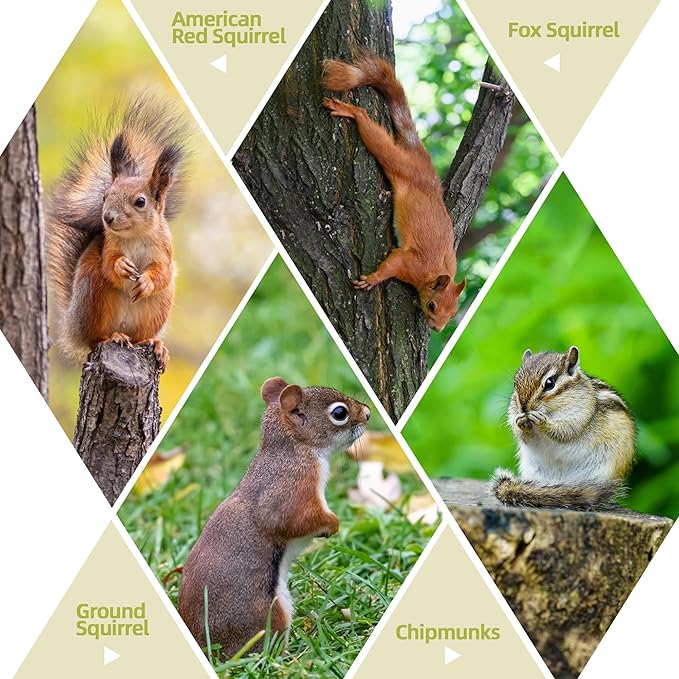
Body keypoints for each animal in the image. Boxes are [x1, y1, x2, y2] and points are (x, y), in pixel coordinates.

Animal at [46, 96, 189, 372]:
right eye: (104, 196)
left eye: (140, 202)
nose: (107, 217)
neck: (135, 236)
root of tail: (71, 327)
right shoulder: (109, 245)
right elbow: (109, 265)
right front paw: (122, 267)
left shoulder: (165, 250)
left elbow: (162, 272)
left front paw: (146, 281)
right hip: (93, 295)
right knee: (94, 339)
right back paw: (112, 337)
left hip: (158, 307)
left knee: (141, 336)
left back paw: (154, 344)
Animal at [178, 377, 371, 658]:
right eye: (339, 413)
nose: (367, 413)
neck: (294, 448)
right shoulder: (291, 488)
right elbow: (291, 520)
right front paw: (332, 524)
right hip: (269, 616)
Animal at [321, 51, 466, 332]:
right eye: (432, 305)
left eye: (453, 313)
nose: (437, 328)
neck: (432, 274)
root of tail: (422, 163)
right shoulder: (410, 263)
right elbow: (392, 264)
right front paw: (372, 279)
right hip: (399, 164)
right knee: (375, 136)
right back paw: (351, 112)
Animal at [493, 346, 636, 511]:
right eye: (515, 384)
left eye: (549, 383)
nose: (523, 408)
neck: (553, 411)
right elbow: (525, 437)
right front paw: (521, 424)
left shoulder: (580, 415)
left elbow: (565, 431)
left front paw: (542, 422)